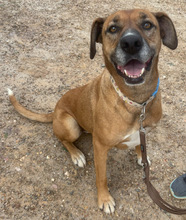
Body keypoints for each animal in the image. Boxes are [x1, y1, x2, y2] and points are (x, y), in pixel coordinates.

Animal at [8, 9, 177, 214]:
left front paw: (141, 157)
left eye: (147, 25)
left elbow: (140, 145)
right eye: (112, 28)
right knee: (62, 139)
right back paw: (77, 155)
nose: (130, 43)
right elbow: (101, 177)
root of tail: (55, 110)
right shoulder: (100, 147)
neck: (137, 101)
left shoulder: (143, 132)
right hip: (70, 125)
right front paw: (104, 199)